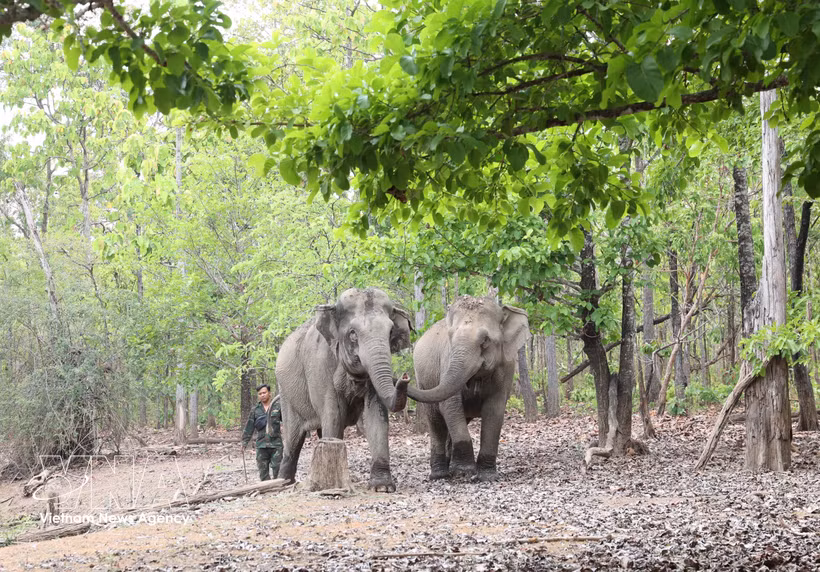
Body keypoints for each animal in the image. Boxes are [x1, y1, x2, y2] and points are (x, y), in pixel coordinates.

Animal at [275, 288, 413, 492]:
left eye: (390, 332)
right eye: (353, 333)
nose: (405, 377)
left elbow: (376, 416)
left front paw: (382, 487)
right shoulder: (319, 366)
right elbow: (334, 415)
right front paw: (330, 485)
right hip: (286, 394)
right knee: (293, 438)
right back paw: (283, 482)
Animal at [406, 296, 529, 482]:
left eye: (485, 340)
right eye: (450, 336)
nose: (403, 378)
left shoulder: (506, 368)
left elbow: (494, 410)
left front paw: (487, 476)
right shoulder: (447, 360)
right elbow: (449, 406)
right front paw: (463, 473)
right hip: (423, 380)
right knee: (436, 423)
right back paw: (439, 475)